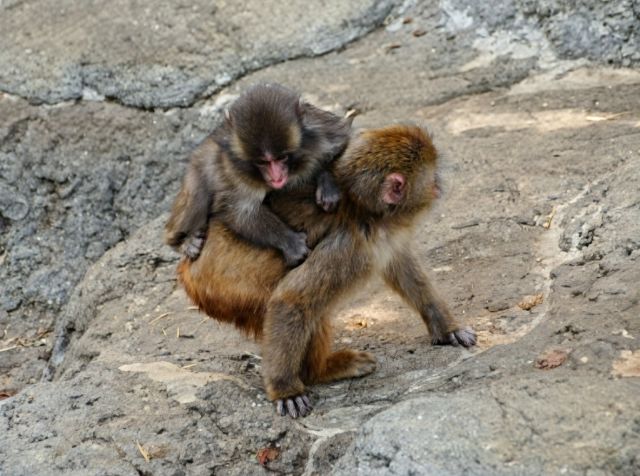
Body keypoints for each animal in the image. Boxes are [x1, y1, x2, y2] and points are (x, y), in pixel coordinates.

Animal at [165, 83, 351, 264]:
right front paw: (290, 242)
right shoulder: (233, 169)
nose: (276, 177)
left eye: (281, 157)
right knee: (197, 194)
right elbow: (240, 210)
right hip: (195, 168)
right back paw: (182, 242)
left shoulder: (321, 128)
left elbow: (343, 139)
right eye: (262, 162)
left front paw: (326, 183)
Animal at [177, 125, 476, 418]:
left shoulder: (383, 237)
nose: (439, 183)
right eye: (432, 174)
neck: (365, 208)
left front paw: (446, 328)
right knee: (308, 309)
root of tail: (187, 267)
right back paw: (320, 372)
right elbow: (290, 299)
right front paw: (285, 390)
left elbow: (401, 266)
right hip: (228, 292)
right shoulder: (349, 247)